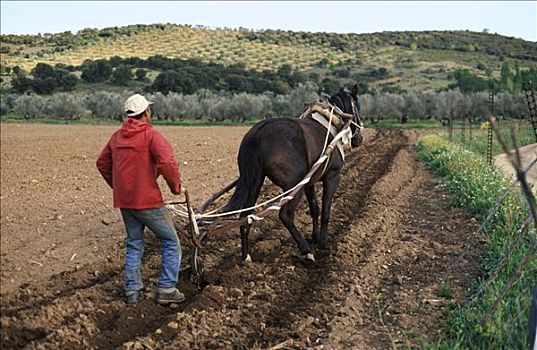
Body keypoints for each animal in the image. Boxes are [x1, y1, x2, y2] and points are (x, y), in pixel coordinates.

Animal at [220, 84, 362, 260]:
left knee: (246, 217)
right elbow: (326, 210)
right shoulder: (332, 177)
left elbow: (314, 208)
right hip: (293, 186)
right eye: (357, 106)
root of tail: (257, 134)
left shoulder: (309, 182)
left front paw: (315, 237)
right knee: (285, 215)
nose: (359, 139)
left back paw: (246, 255)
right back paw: (306, 250)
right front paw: (323, 242)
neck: (331, 122)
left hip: (255, 183)